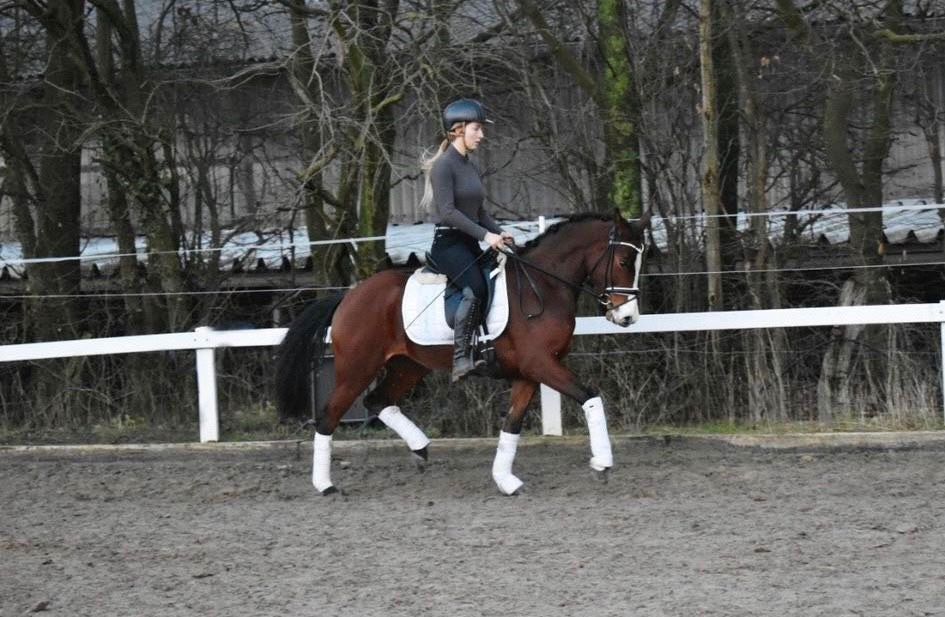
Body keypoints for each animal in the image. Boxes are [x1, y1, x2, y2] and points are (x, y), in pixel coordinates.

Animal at [274, 211, 648, 496]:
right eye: (624, 260)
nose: (628, 317)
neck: (543, 287)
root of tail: (349, 296)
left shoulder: (529, 372)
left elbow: (512, 424)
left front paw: (506, 480)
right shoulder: (542, 364)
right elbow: (590, 396)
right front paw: (602, 463)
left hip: (408, 365)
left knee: (377, 400)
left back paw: (420, 447)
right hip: (357, 368)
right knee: (329, 416)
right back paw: (325, 485)